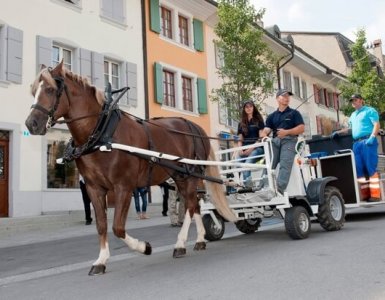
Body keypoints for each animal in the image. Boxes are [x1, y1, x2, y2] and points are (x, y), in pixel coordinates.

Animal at [24, 62, 234, 276]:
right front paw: (101, 260)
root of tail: (195, 127)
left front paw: (144, 247)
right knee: (196, 204)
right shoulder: (93, 188)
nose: (31, 124)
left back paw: (180, 244)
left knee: (191, 205)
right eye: (33, 91)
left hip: (189, 175)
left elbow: (117, 227)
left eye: (50, 90)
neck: (102, 134)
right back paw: (199, 240)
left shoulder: (123, 187)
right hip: (180, 176)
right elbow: (101, 225)